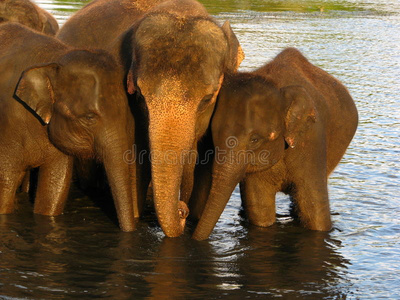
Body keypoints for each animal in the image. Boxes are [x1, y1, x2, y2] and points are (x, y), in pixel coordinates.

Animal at [0, 23, 137, 232]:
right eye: (89, 117)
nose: (131, 232)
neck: (55, 59)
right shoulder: (7, 124)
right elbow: (5, 180)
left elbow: (56, 184)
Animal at [191, 49, 360, 241]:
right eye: (212, 137)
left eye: (254, 139)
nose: (194, 240)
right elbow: (259, 209)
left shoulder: (312, 139)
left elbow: (314, 208)